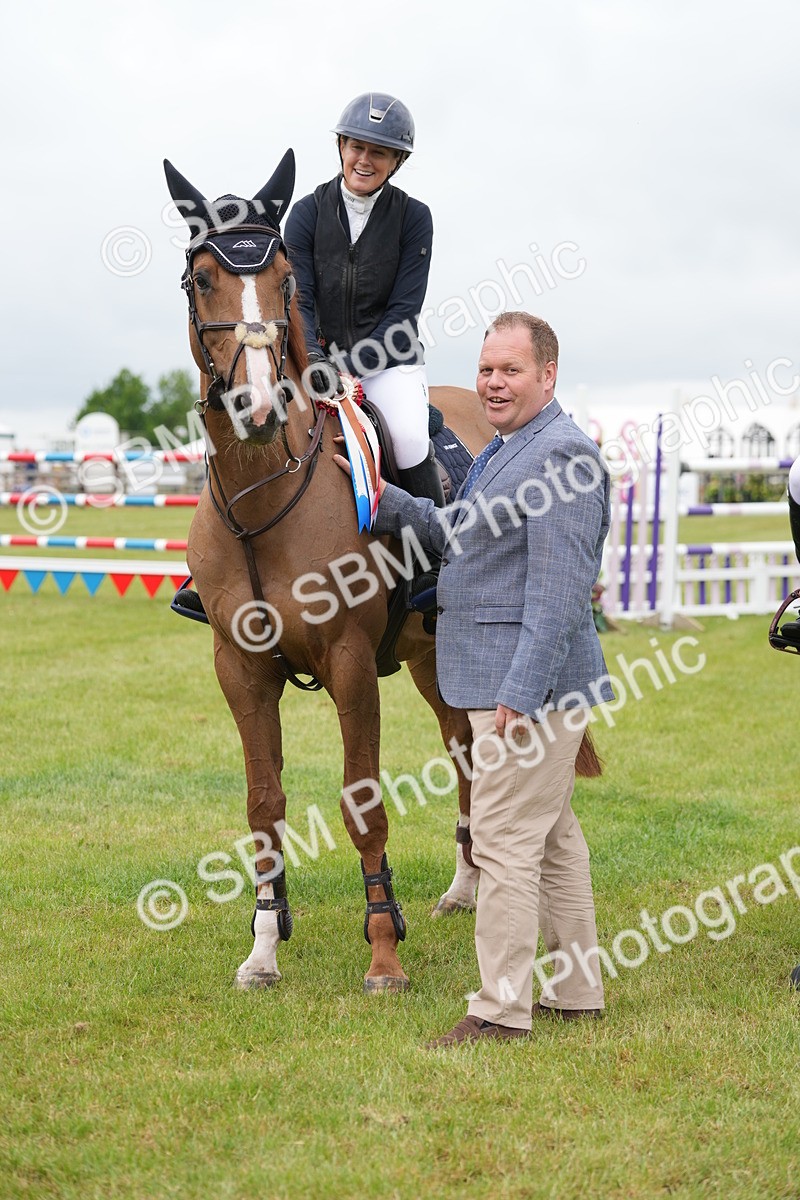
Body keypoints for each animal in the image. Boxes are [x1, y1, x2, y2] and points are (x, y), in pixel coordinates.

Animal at [164, 149, 601, 993]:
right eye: (202, 278)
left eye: (284, 283)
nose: (258, 409)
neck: (268, 493)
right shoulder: (240, 670)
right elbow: (263, 804)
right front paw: (264, 947)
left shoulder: (350, 663)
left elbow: (361, 802)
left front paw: (383, 949)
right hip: (436, 659)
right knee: (465, 752)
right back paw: (466, 888)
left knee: (475, 758)